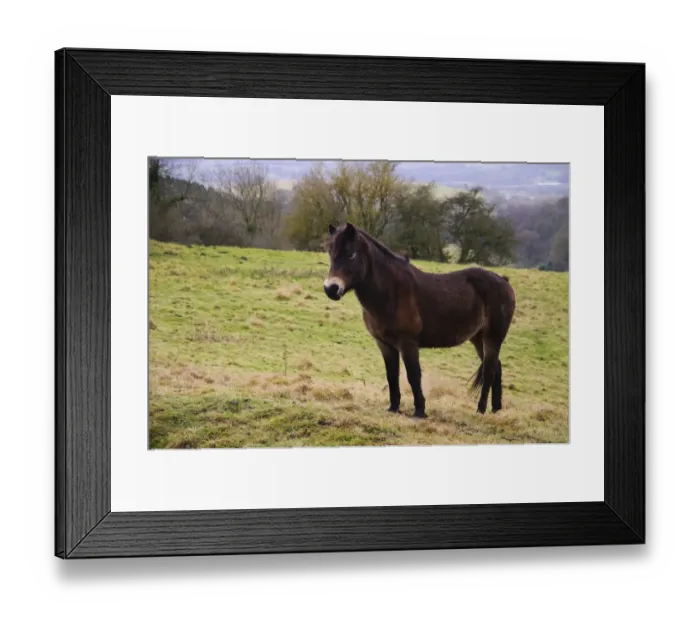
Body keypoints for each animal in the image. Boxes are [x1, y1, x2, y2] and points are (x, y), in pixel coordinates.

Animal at [323, 222, 516, 418]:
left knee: (489, 370)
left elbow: (413, 375)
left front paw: (419, 411)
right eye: (330, 252)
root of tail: (504, 281)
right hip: (477, 338)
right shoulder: (385, 344)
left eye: (351, 254)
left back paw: (481, 410)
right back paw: (496, 409)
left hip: (492, 338)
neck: (392, 291)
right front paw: (393, 407)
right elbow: (392, 375)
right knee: (496, 367)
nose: (331, 288)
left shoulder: (408, 343)